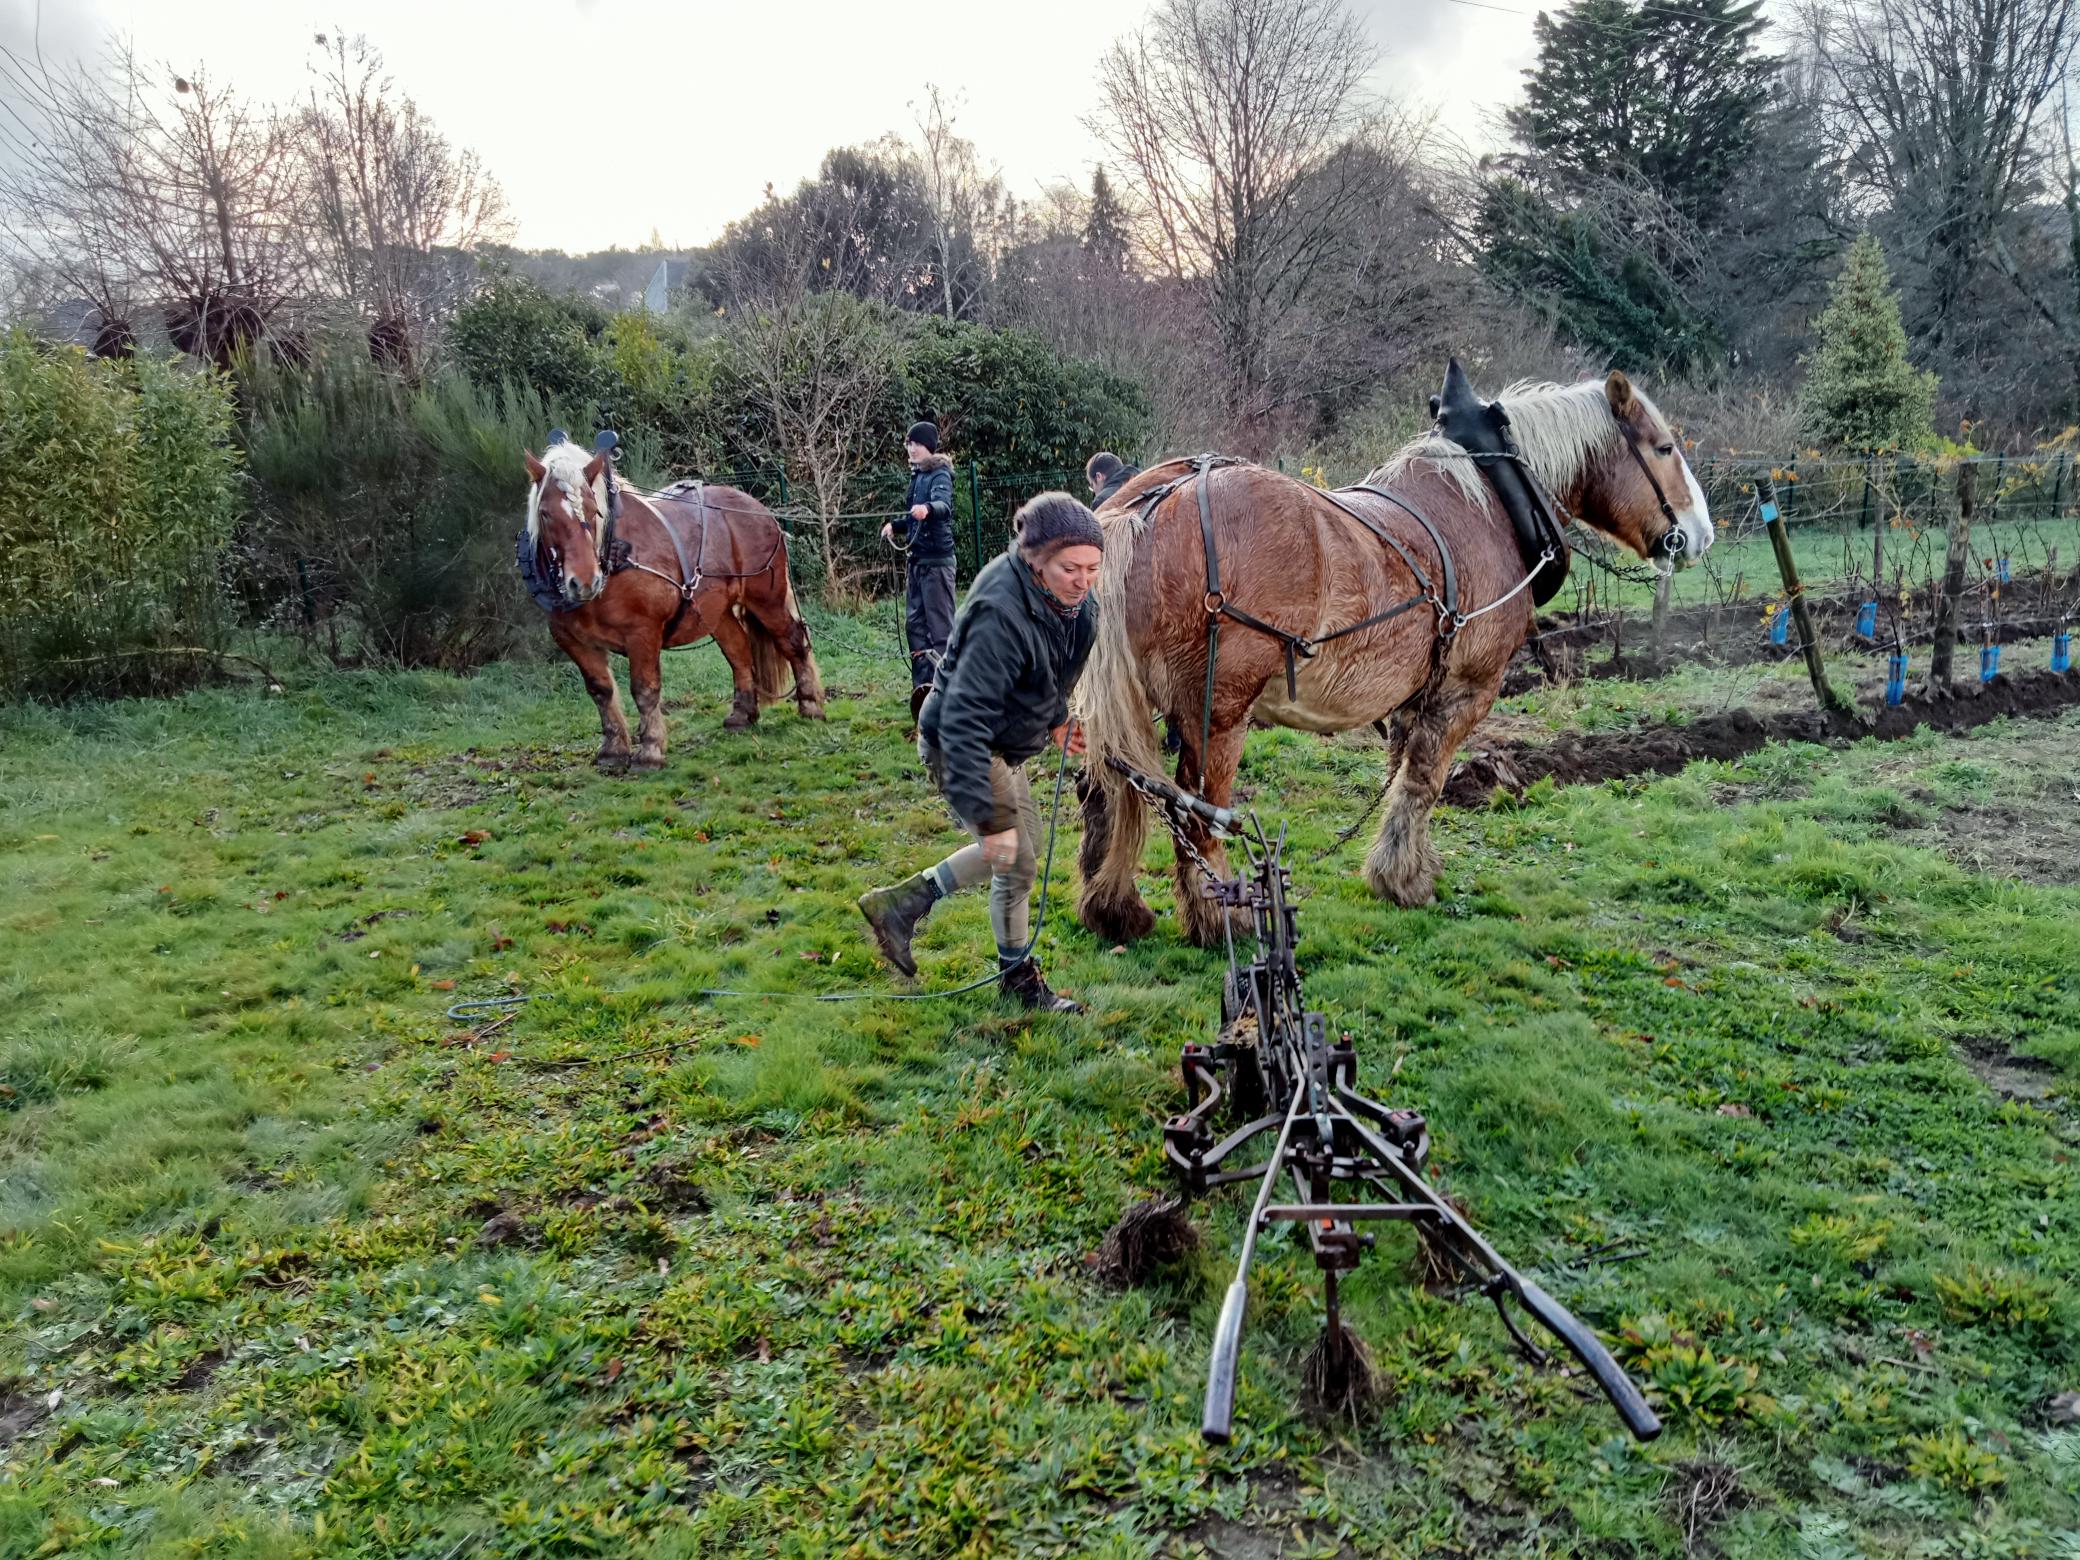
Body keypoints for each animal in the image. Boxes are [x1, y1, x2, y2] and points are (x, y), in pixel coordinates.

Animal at [520, 440, 827, 769]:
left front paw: (650, 750)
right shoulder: (572, 640)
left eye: (594, 510)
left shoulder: (643, 632)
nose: (585, 581)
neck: (615, 555)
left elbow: (644, 689)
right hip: (715, 611)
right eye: (545, 514)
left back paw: (811, 705)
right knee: (739, 651)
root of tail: (758, 508)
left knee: (792, 640)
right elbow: (600, 691)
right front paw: (612, 750)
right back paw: (742, 715)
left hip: (766, 598)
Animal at [1081, 372, 1713, 948]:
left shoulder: (1412, 691)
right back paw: (1221, 918)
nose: (1700, 534)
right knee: (1196, 814)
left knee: (1108, 795)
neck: (1492, 500)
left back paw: (1114, 910)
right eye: (1664, 447)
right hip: (1218, 713)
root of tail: (1147, 506)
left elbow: (1401, 774)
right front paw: (1405, 880)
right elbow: (1424, 780)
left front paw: (1396, 866)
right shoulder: (1467, 687)